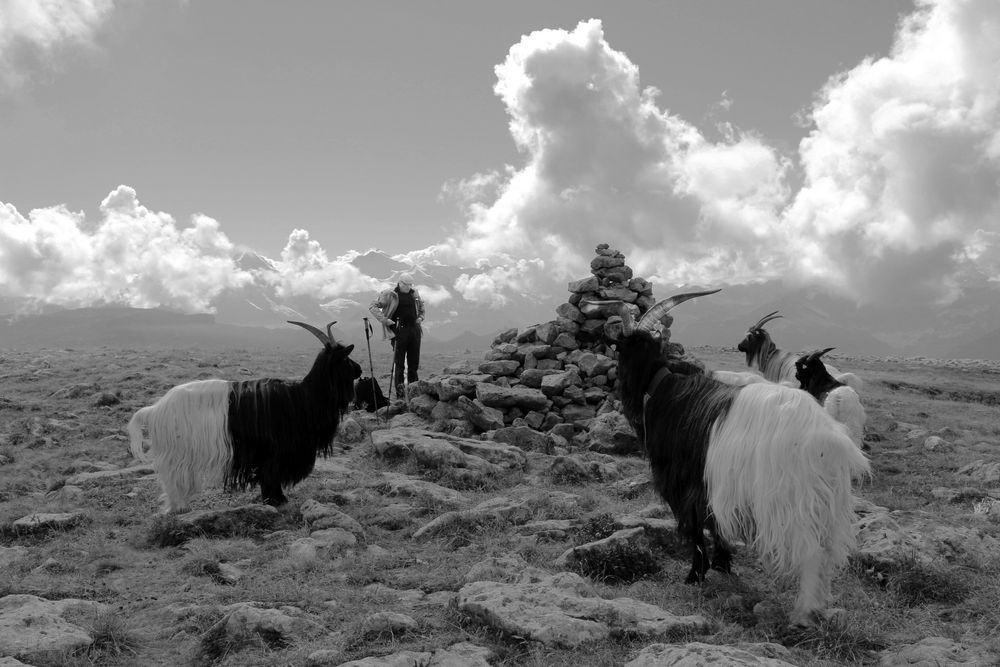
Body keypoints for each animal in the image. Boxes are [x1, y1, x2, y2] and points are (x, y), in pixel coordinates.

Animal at [129, 320, 362, 516]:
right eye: (345, 359)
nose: (359, 370)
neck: (303, 397)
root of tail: (155, 409)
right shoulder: (274, 452)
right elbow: (271, 477)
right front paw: (276, 500)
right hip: (177, 454)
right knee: (172, 481)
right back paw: (178, 507)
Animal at [604, 292, 872, 628]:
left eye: (620, 348)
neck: (663, 388)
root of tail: (828, 439)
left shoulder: (685, 481)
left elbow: (695, 527)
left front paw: (695, 574)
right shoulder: (714, 484)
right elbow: (715, 523)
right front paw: (723, 563)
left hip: (790, 501)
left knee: (811, 552)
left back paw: (803, 613)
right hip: (827, 501)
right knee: (827, 552)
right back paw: (819, 606)